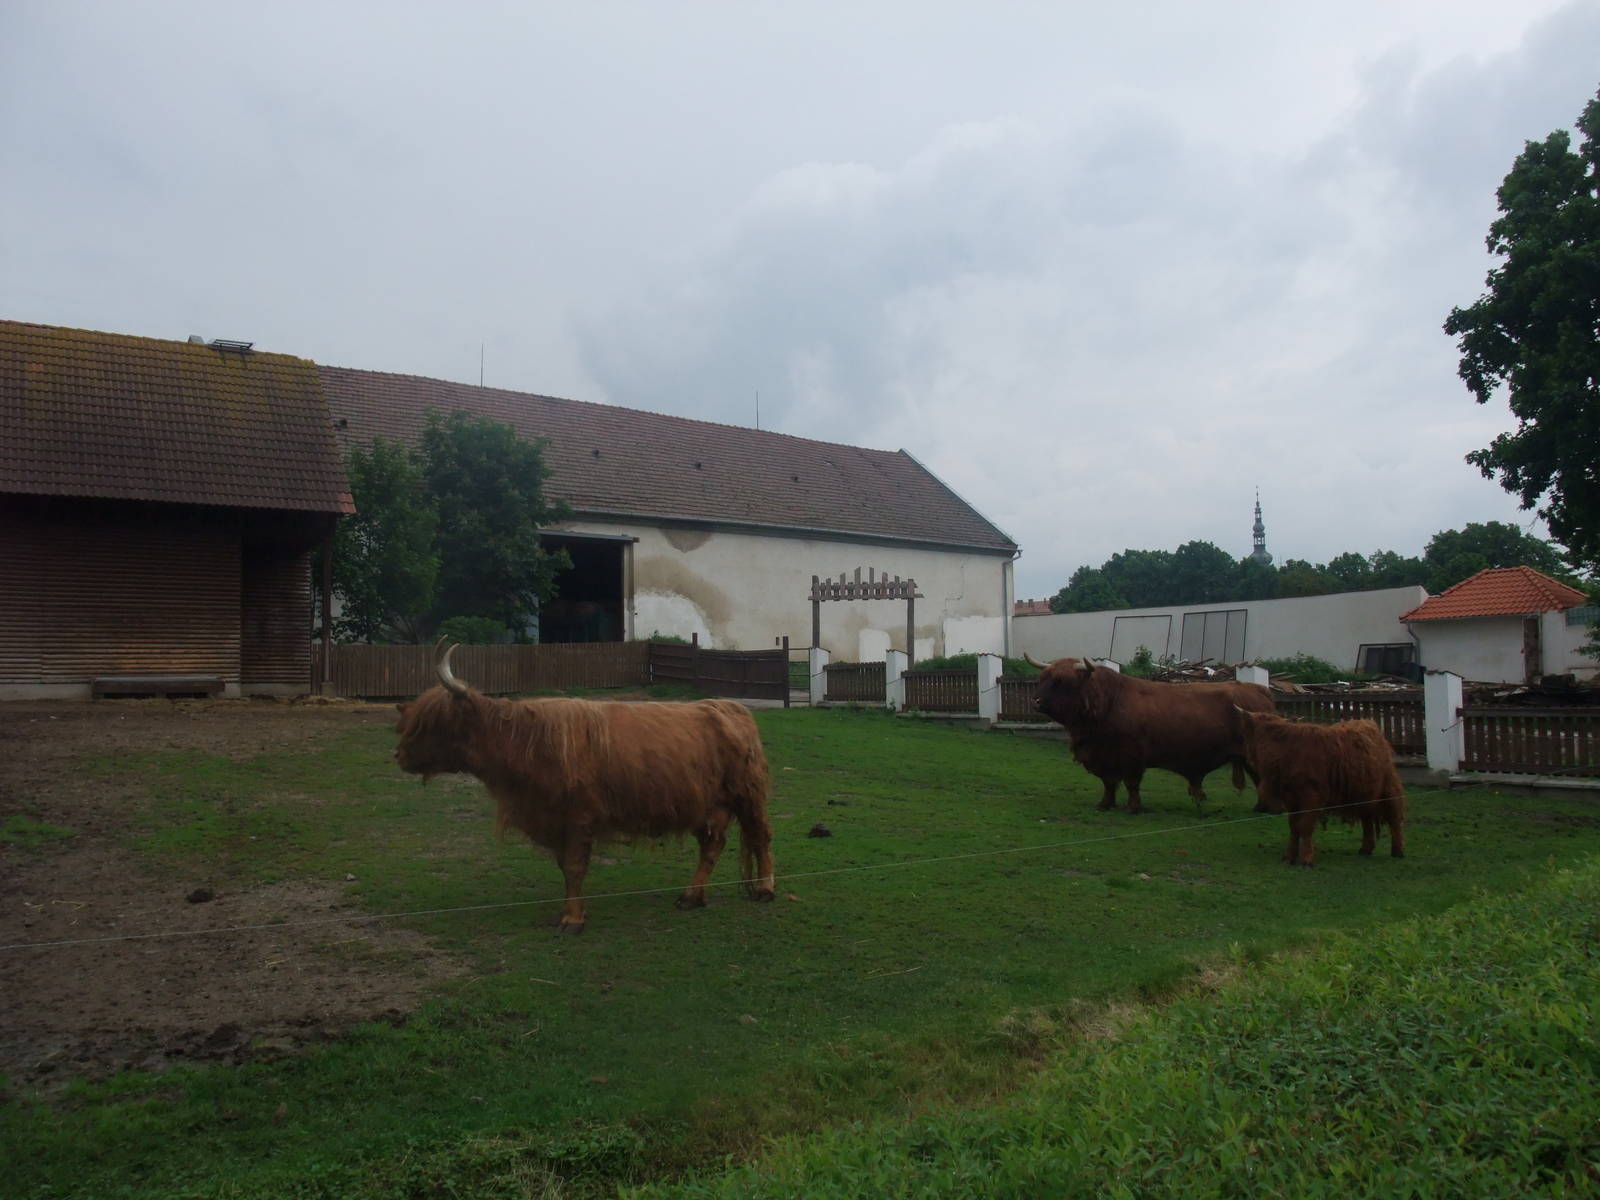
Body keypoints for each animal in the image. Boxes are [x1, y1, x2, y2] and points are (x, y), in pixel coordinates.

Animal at [394, 642, 776, 932]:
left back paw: (764, 889)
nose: (398, 755)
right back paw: (690, 897)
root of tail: (729, 706)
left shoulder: (579, 816)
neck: (522, 744)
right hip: (706, 804)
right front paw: (574, 911)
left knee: (760, 836)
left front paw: (572, 920)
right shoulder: (557, 820)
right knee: (712, 846)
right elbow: (566, 867)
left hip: (748, 794)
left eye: (433, 722)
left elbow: (576, 867)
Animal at [1026, 655, 1276, 814]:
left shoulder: (1131, 756)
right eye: (1043, 678)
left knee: (1262, 779)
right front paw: (1105, 804)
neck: (1108, 703)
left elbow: (1131, 783)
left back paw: (1264, 808)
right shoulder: (1103, 757)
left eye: (1062, 681)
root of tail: (1259, 690)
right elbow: (1109, 783)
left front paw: (1133, 807)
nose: (1035, 701)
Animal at [1232, 708, 1406, 866]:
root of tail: (1368, 723)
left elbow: (1305, 826)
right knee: (1367, 819)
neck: (1286, 752)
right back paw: (1365, 849)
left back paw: (1397, 851)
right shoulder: (1291, 799)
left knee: (1394, 819)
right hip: (1364, 793)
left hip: (1388, 789)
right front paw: (1289, 856)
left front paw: (1307, 859)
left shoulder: (1312, 797)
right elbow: (1294, 827)